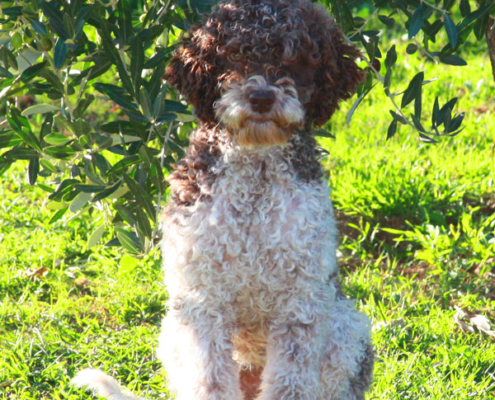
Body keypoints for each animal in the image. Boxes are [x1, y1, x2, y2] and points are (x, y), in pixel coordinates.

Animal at [73, 0, 374, 400]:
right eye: (232, 54)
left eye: (296, 59)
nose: (261, 97)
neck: (256, 189)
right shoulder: (203, 300)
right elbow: (211, 379)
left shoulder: (302, 301)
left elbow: (290, 382)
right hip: (173, 334)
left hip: (347, 333)